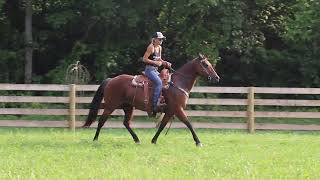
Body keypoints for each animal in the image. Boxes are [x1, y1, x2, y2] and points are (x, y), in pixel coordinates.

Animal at [83, 53, 220, 146]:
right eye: (206, 64)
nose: (217, 77)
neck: (178, 83)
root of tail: (111, 80)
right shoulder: (178, 109)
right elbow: (188, 123)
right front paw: (198, 142)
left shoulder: (170, 111)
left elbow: (162, 125)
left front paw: (153, 140)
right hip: (110, 106)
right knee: (101, 121)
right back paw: (95, 139)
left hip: (128, 107)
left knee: (126, 123)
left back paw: (137, 139)